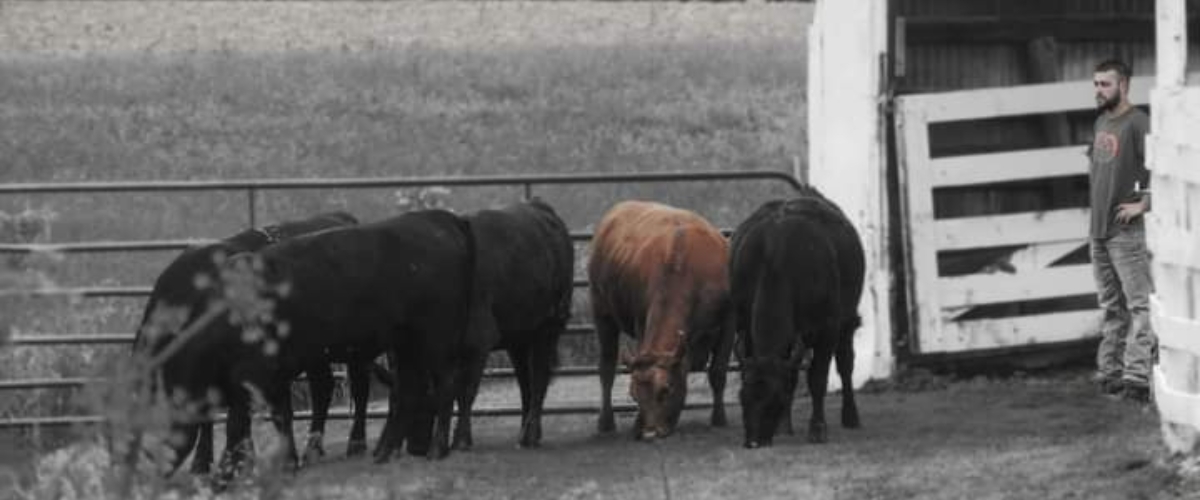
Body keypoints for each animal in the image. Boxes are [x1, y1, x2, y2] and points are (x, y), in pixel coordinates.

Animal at [453, 197, 576, 448]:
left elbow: (465, 391)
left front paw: (461, 439)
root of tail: (539, 206)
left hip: (547, 328)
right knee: (525, 381)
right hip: (518, 339)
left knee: (538, 377)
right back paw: (524, 432)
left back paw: (531, 433)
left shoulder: (478, 341)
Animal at [588, 200, 734, 438]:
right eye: (634, 395)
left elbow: (718, 372)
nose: (650, 433)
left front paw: (719, 419)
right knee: (607, 368)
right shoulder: (641, 319)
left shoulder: (729, 322)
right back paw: (606, 422)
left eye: (666, 390)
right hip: (602, 312)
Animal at [724, 185, 868, 448]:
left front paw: (818, 428)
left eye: (773, 400)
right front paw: (783, 426)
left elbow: (818, 378)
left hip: (847, 322)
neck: (775, 259)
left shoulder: (827, 329)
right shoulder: (746, 327)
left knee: (846, 364)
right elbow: (790, 375)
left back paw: (851, 416)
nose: (753, 442)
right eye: (742, 397)